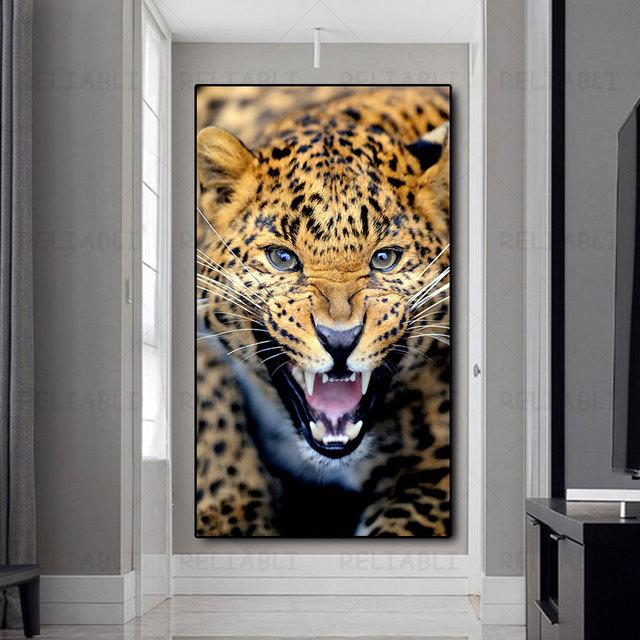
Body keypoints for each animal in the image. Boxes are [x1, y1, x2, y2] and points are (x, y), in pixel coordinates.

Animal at [195, 86, 451, 537]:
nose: (340, 340)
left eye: (384, 259)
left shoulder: (434, 476)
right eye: (282, 258)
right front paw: (233, 514)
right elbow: (208, 408)